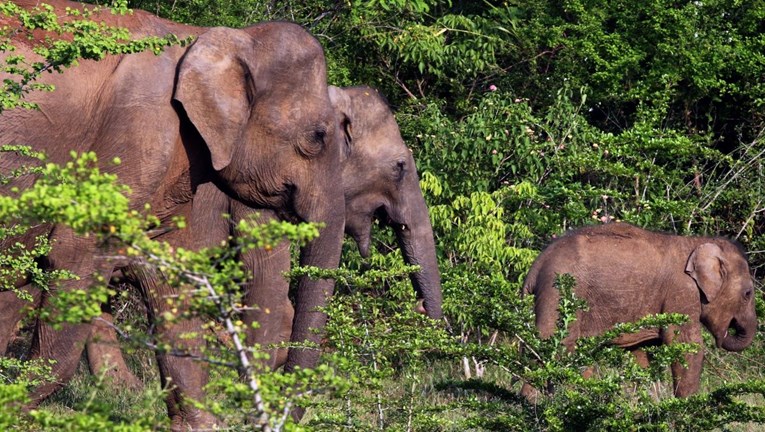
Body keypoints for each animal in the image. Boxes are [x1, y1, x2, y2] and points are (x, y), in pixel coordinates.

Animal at [0, 0, 342, 428]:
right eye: (317, 137)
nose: (278, 417)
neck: (212, 39)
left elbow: (172, 276)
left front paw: (198, 425)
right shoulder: (136, 135)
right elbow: (76, 255)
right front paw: (11, 406)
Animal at [524, 223, 756, 398]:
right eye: (748, 294)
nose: (726, 333)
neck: (697, 242)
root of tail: (536, 266)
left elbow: (641, 354)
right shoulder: (682, 291)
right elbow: (685, 345)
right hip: (560, 291)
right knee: (557, 344)